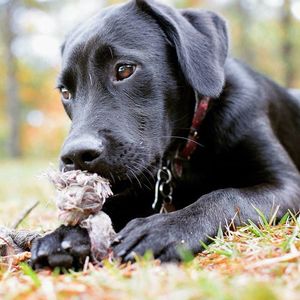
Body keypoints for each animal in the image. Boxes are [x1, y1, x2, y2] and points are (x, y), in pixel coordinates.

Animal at [30, 0, 300, 268]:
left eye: (125, 69)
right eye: (65, 92)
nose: (75, 156)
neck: (188, 149)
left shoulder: (287, 183)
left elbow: (227, 196)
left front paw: (165, 228)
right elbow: (111, 205)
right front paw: (67, 233)